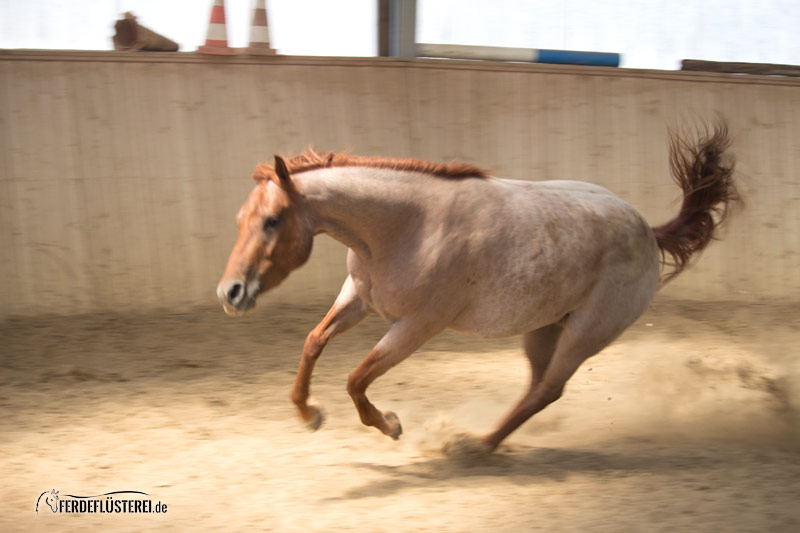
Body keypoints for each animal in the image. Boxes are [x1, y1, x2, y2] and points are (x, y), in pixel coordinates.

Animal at [216, 119, 736, 448]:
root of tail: (648, 230)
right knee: (537, 387)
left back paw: (474, 447)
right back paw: (485, 440)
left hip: (586, 333)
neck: (406, 227)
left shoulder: (416, 327)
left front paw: (390, 425)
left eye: (272, 220)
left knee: (548, 391)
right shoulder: (358, 299)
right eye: (241, 219)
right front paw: (310, 414)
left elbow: (356, 378)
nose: (230, 293)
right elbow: (313, 342)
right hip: (543, 328)